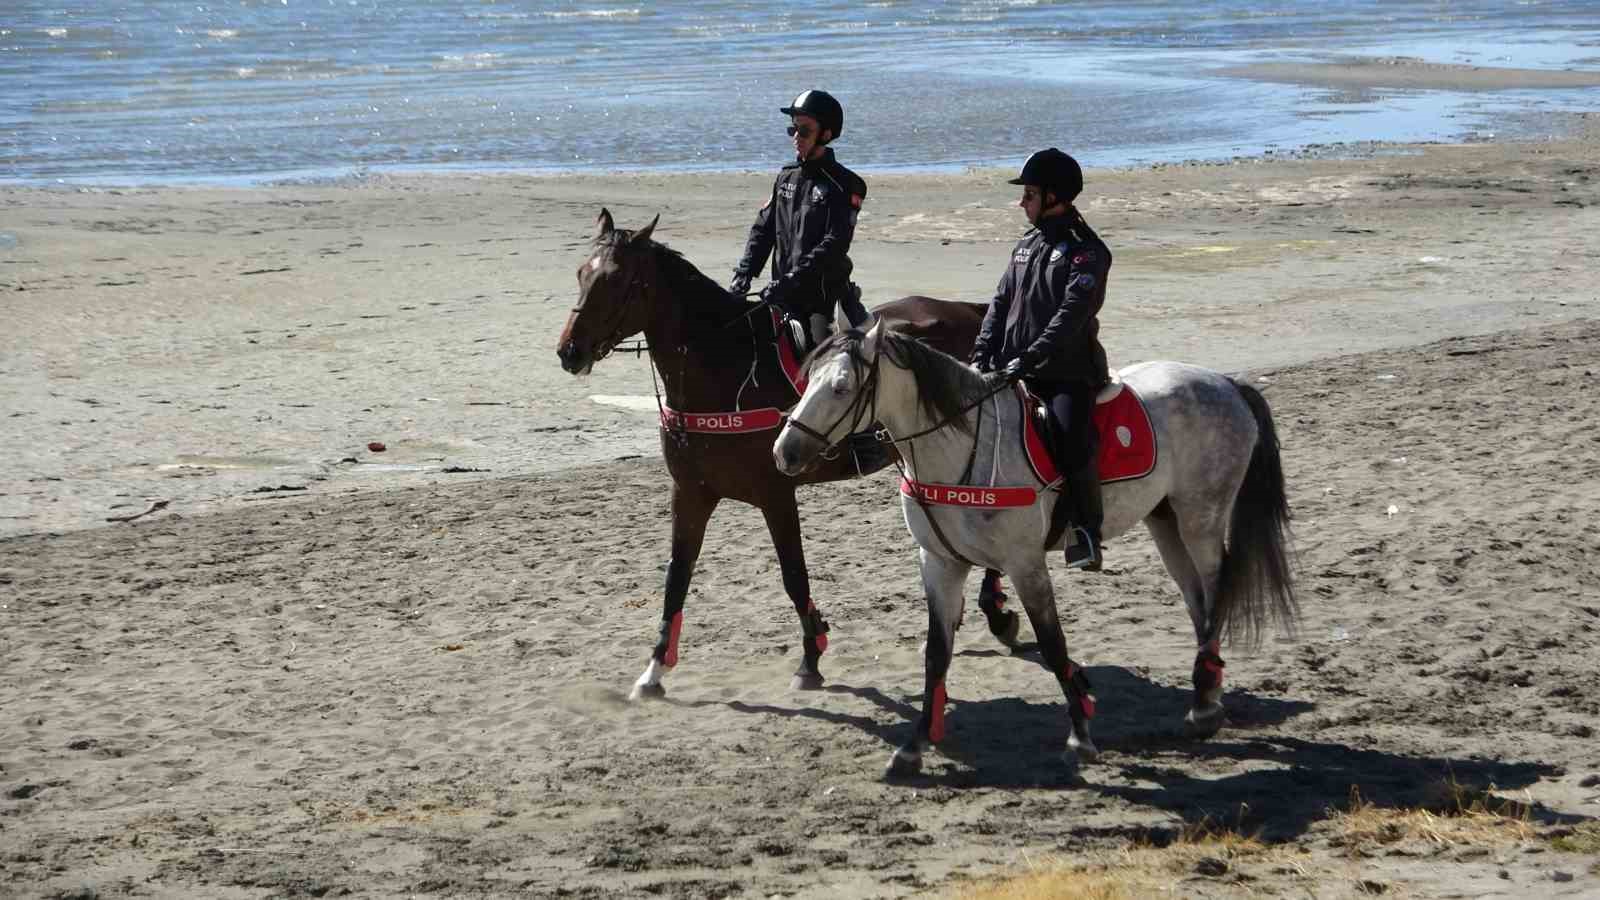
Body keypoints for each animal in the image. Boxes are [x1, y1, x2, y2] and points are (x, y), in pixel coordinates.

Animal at [560, 206, 1011, 698]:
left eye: (618, 280)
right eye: (581, 273)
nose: (569, 351)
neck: (724, 367)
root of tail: (972, 311)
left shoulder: (776, 495)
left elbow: (793, 575)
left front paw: (811, 657)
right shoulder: (692, 493)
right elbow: (676, 578)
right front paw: (654, 669)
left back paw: (996, 609)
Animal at [774, 320, 1299, 771]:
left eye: (841, 387)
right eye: (807, 381)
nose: (784, 452)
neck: (959, 449)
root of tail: (1225, 383)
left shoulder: (1024, 564)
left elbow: (1051, 643)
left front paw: (1081, 732)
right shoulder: (940, 563)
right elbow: (936, 653)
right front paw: (915, 744)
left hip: (1200, 520)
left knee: (1214, 593)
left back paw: (1206, 702)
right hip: (1165, 521)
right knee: (1196, 600)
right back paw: (1204, 700)